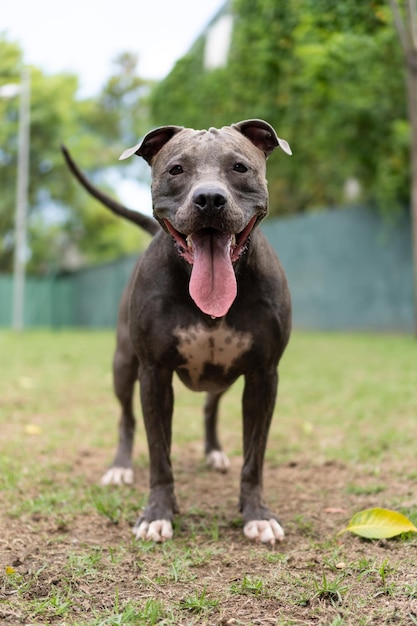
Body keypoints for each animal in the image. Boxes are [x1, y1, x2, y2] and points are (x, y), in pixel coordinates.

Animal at [61, 119, 290, 544]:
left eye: (239, 167)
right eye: (176, 170)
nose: (210, 199)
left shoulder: (264, 376)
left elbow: (254, 457)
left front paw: (257, 514)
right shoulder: (154, 374)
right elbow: (159, 453)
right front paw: (157, 513)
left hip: (226, 375)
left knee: (210, 407)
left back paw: (213, 451)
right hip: (123, 364)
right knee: (126, 418)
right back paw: (120, 467)